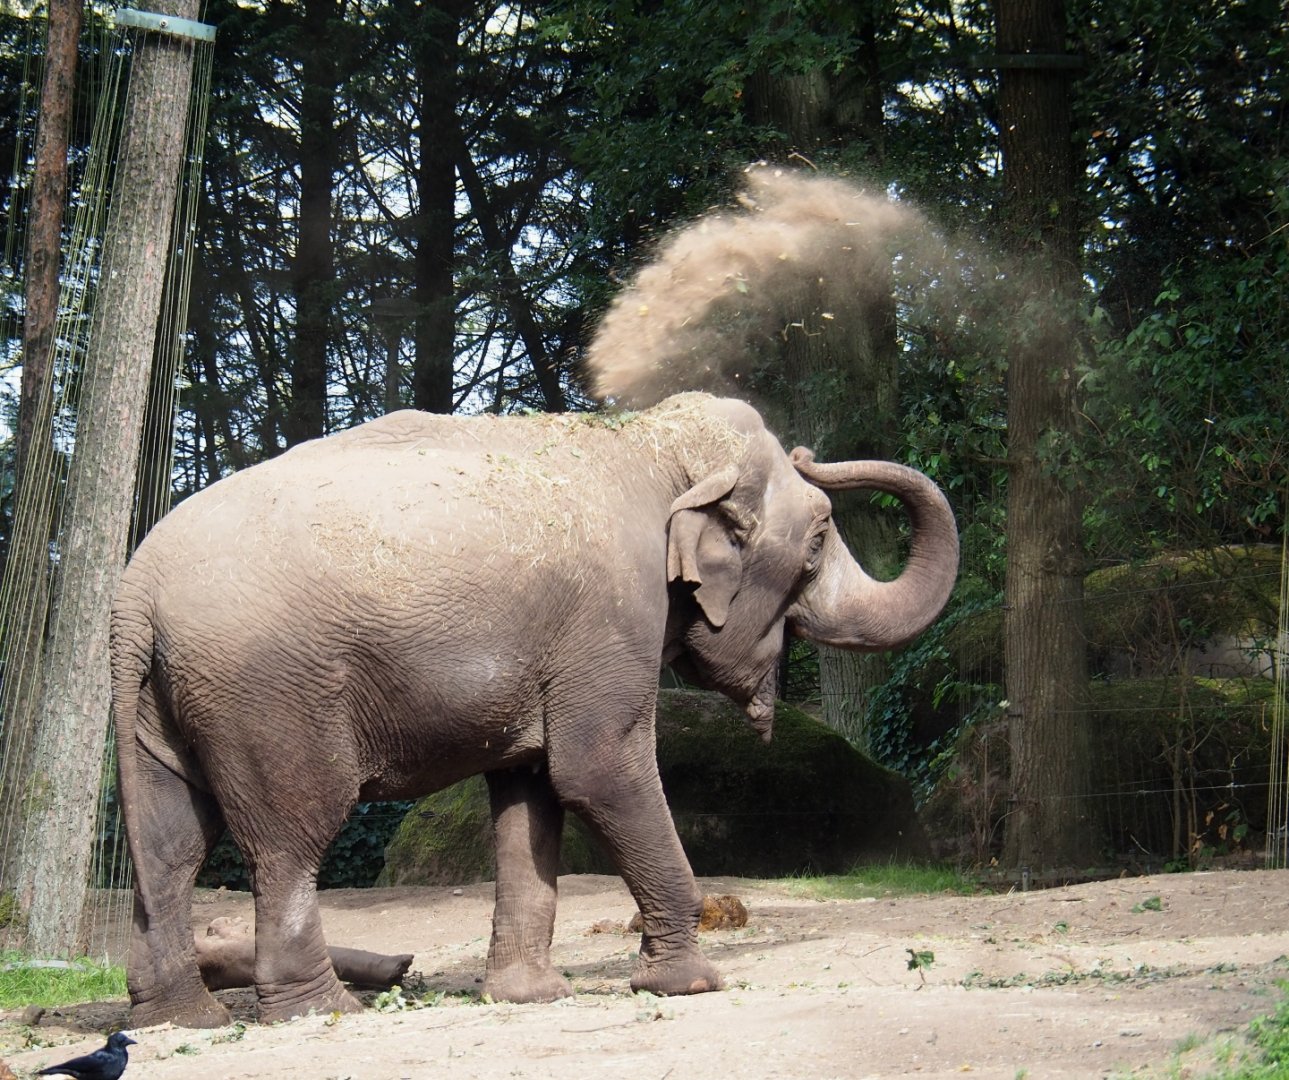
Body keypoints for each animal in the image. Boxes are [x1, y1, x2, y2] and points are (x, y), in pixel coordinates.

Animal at [111, 392, 958, 1028]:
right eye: (815, 542)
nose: (813, 451)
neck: (648, 442)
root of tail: (135, 591)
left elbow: (532, 790)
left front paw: (528, 996)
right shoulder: (612, 617)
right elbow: (598, 773)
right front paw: (691, 984)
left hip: (164, 701)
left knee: (171, 843)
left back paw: (183, 1018)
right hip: (268, 692)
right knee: (290, 839)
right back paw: (324, 1009)